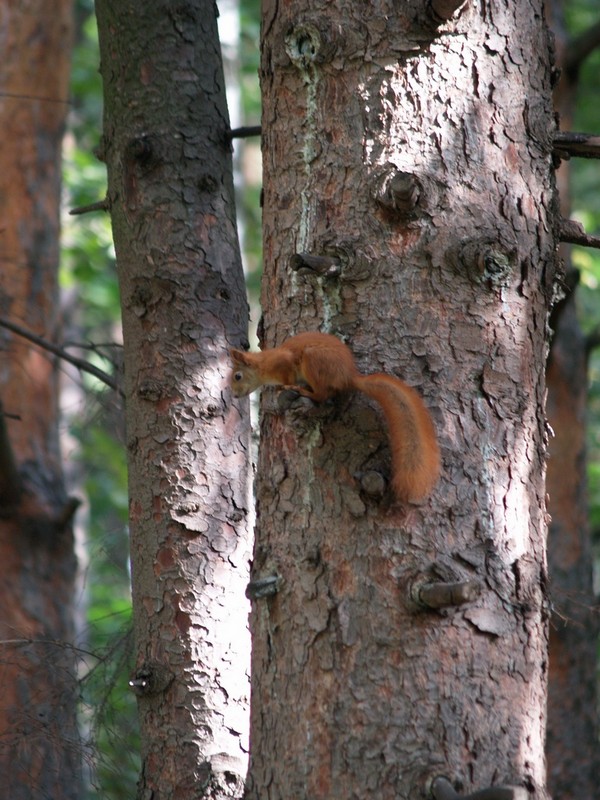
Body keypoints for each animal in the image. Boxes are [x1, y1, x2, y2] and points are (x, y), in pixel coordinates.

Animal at [227, 332, 438, 500]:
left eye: (238, 376)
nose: (235, 396)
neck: (264, 365)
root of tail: (348, 376)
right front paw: (279, 388)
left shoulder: (284, 363)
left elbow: (288, 375)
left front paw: (284, 386)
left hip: (313, 360)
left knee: (321, 394)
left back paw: (303, 390)